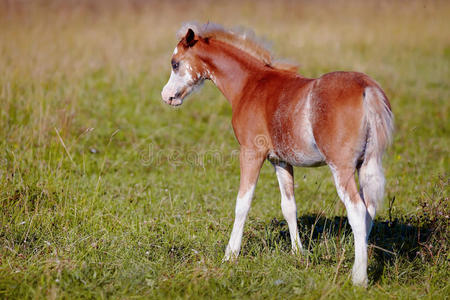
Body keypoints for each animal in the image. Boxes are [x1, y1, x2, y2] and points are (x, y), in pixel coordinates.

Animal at [160, 22, 392, 286]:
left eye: (175, 63)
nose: (167, 96)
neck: (250, 84)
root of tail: (367, 89)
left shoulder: (251, 153)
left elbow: (243, 203)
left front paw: (230, 255)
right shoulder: (280, 160)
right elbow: (289, 206)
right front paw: (298, 253)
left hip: (341, 167)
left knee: (357, 210)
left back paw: (359, 278)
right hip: (366, 164)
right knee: (369, 209)